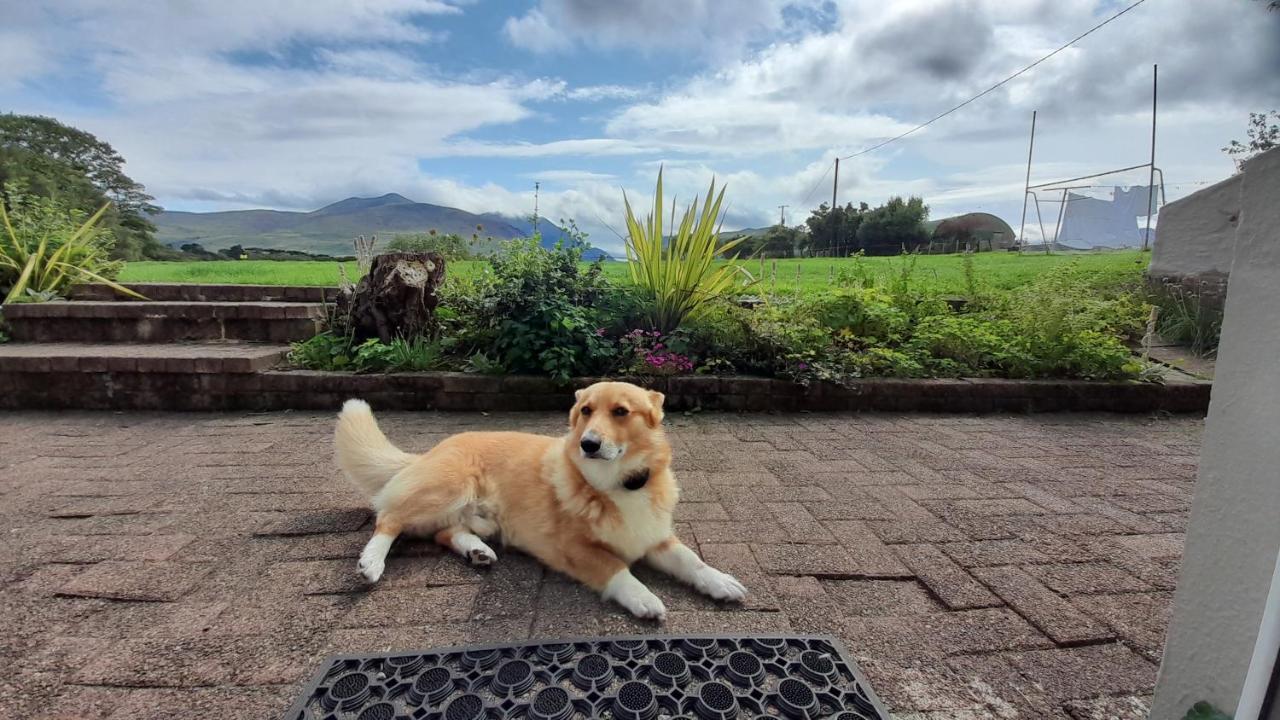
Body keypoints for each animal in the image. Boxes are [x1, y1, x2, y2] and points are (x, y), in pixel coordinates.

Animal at [335, 379, 747, 620]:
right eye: (586, 411)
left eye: (621, 412)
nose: (588, 444)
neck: (616, 485)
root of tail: (425, 454)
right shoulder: (574, 548)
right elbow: (616, 568)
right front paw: (644, 598)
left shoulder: (656, 537)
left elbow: (692, 561)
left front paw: (721, 582)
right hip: (446, 488)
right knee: (388, 519)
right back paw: (371, 563)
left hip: (477, 517)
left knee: (445, 532)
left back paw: (477, 551)